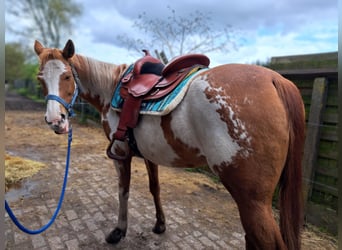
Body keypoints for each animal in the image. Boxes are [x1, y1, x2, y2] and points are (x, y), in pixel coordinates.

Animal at [33, 40, 306, 249]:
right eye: (41, 79)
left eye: (67, 76)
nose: (56, 121)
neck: (111, 88)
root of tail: (276, 80)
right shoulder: (149, 154)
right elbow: (155, 188)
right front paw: (160, 224)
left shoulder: (121, 154)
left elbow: (124, 191)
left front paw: (119, 231)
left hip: (252, 200)